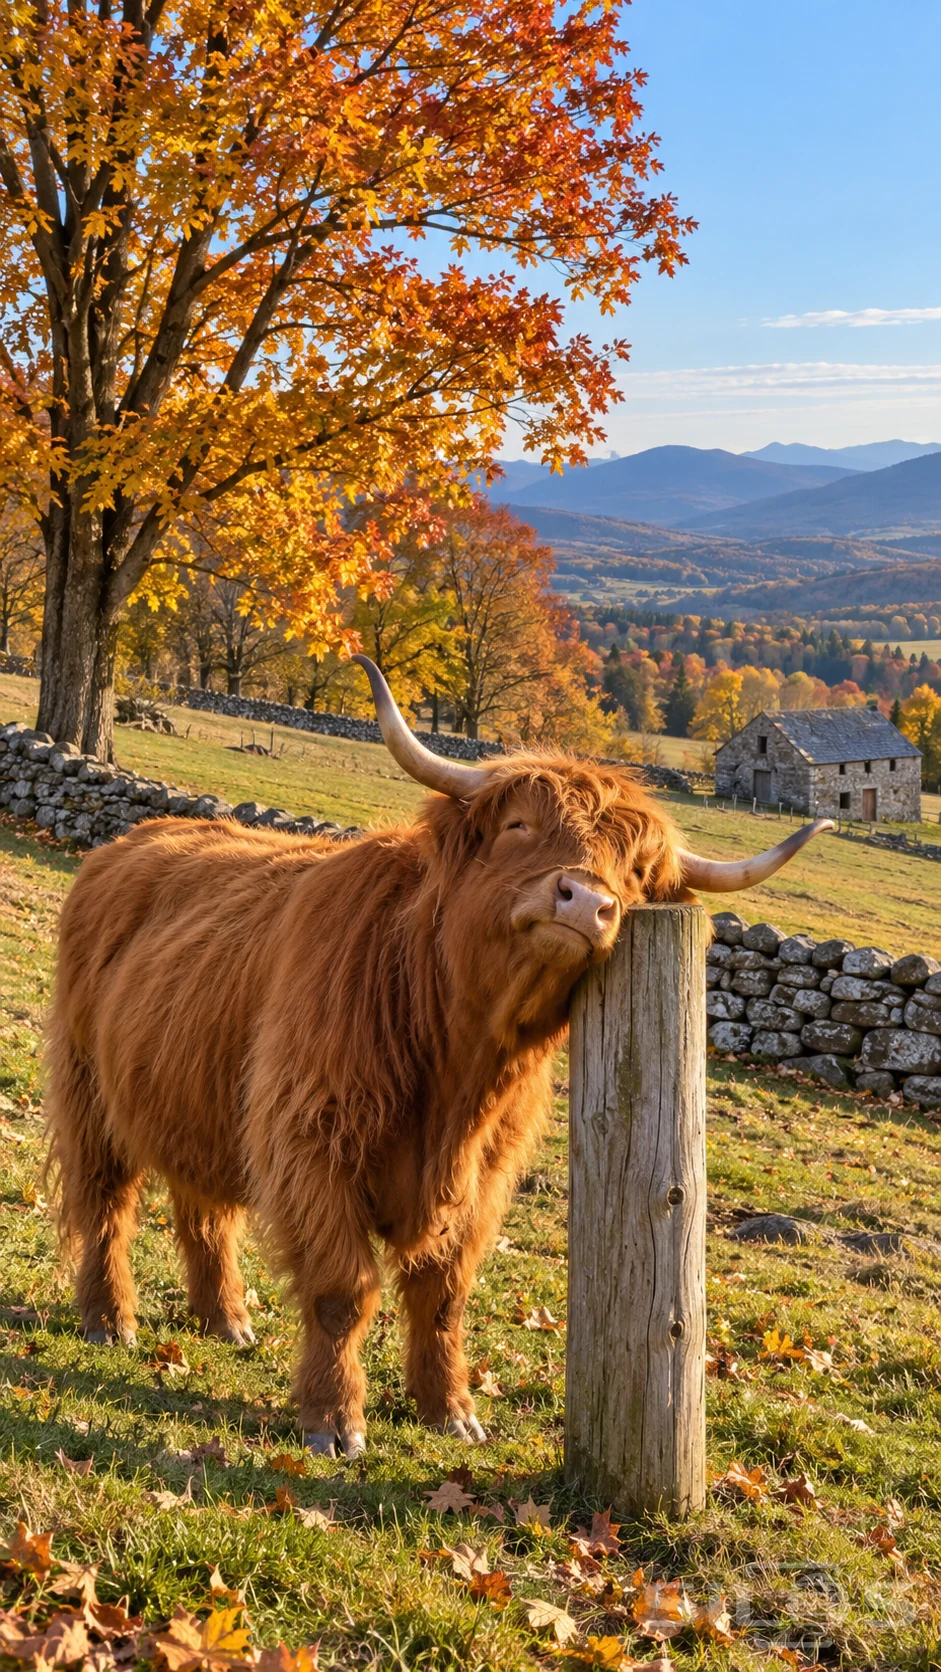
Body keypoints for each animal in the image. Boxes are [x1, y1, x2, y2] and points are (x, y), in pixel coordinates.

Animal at [45, 656, 831, 1458]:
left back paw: (226, 1320)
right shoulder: (311, 1140)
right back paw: (110, 1320)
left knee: (204, 1208)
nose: (586, 903)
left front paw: (450, 1410)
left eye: (637, 870)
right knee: (106, 1200)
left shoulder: (480, 1178)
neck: (456, 1066)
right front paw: (334, 1421)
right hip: (86, 1085)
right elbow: (342, 1289)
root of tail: (131, 840)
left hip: (195, 1092)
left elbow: (444, 1295)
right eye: (519, 826)